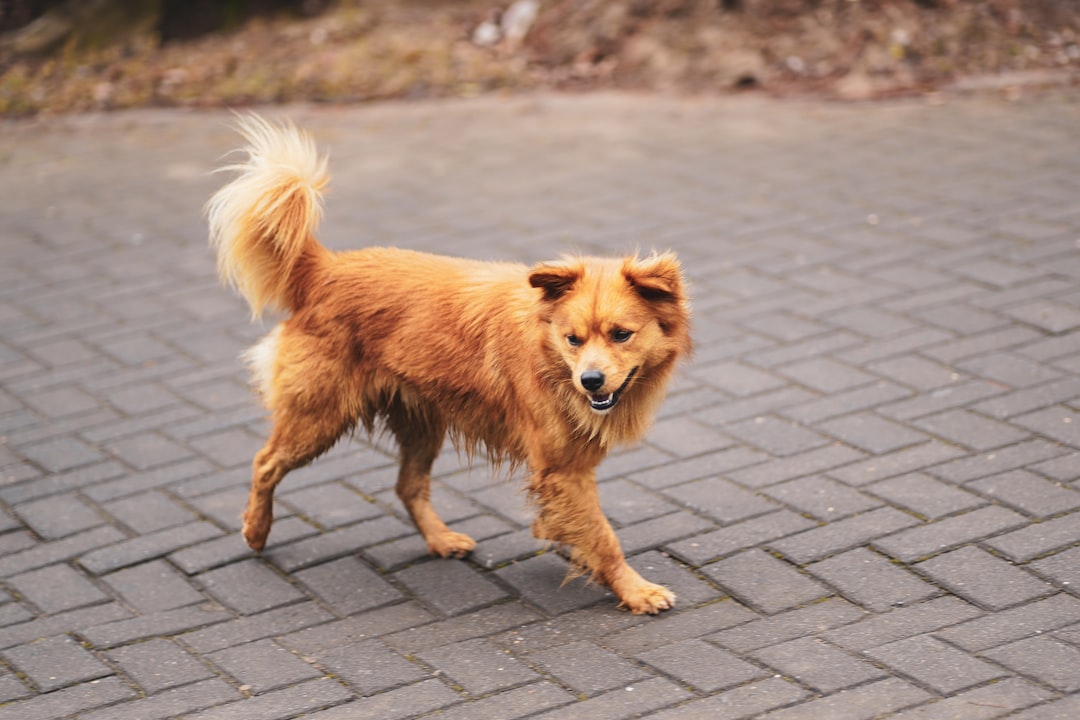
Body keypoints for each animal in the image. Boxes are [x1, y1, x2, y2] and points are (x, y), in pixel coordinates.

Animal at [206, 113, 686, 613]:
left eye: (620, 335)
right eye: (572, 340)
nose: (590, 381)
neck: (547, 354)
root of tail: (327, 268)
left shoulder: (565, 470)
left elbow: (578, 527)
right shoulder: (564, 470)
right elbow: (604, 536)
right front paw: (635, 590)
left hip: (420, 423)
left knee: (407, 486)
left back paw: (439, 540)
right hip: (319, 417)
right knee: (265, 463)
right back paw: (256, 530)